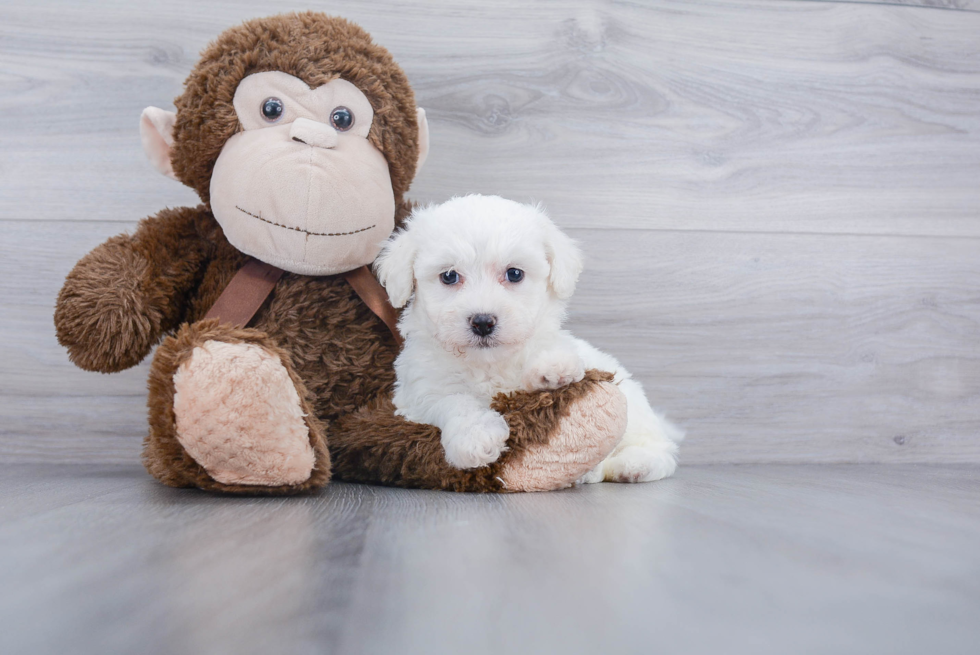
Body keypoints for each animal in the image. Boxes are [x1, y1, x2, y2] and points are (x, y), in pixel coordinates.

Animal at [376, 195, 680, 482]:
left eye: (514, 274)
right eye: (449, 276)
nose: (483, 322)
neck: (487, 363)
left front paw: (552, 368)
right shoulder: (418, 391)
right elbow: (454, 401)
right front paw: (476, 438)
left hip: (636, 410)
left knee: (661, 450)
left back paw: (634, 465)